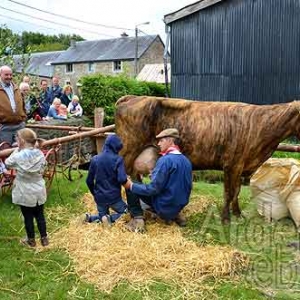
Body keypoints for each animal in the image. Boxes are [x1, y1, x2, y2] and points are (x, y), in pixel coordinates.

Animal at [115, 95, 300, 223]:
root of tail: (133, 97)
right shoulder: (232, 164)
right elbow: (229, 192)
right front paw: (225, 219)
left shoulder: (240, 166)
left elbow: (237, 192)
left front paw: (238, 214)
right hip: (127, 149)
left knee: (134, 177)